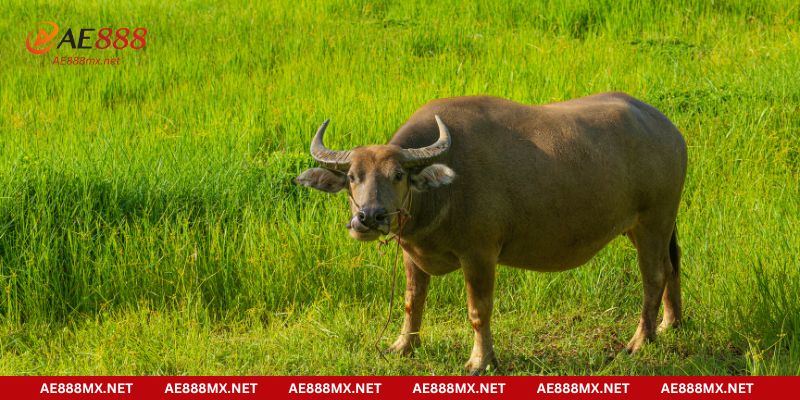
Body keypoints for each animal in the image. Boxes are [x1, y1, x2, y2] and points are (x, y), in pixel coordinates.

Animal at [296, 92, 688, 374]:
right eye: (352, 176)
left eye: (398, 175)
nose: (369, 217)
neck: (443, 191)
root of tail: (669, 129)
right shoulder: (412, 254)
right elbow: (412, 301)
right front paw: (403, 346)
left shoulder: (480, 254)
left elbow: (478, 310)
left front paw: (480, 361)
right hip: (643, 226)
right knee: (672, 266)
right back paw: (671, 324)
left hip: (655, 218)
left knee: (654, 275)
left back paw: (640, 341)